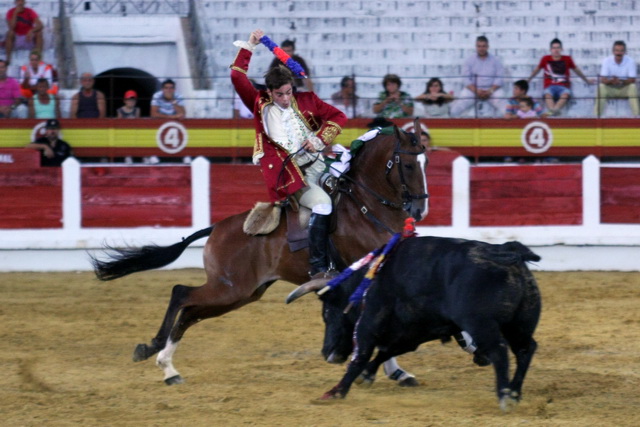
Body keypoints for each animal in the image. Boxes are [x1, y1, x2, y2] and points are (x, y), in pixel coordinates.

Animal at [91, 122, 430, 386]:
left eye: (426, 162)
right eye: (408, 165)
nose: (420, 209)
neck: (366, 206)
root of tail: (217, 228)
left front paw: (394, 371)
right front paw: (377, 370)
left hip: (242, 294)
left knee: (189, 313)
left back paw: (168, 368)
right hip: (229, 288)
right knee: (180, 293)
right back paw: (155, 351)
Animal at [288, 236, 544, 412]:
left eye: (327, 312)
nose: (326, 352)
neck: (365, 285)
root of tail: (506, 251)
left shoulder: (368, 325)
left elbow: (361, 357)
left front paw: (336, 392)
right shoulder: (417, 330)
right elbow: (387, 350)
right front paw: (367, 376)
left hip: (481, 325)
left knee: (500, 352)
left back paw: (505, 396)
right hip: (520, 324)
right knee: (525, 349)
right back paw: (514, 392)